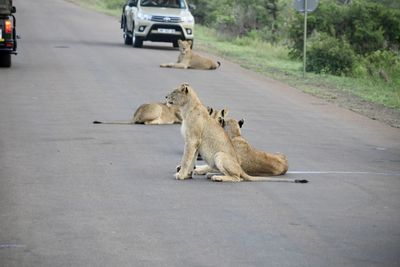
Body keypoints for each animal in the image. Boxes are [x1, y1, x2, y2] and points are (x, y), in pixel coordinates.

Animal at [165, 83, 306, 184]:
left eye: (174, 92)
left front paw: (180, 175)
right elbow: (191, 160)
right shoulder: (195, 143)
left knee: (237, 178)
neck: (186, 109)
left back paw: (217, 177)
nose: (165, 97)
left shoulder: (192, 140)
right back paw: (212, 175)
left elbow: (186, 159)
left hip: (219, 155)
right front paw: (187, 175)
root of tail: (240, 168)